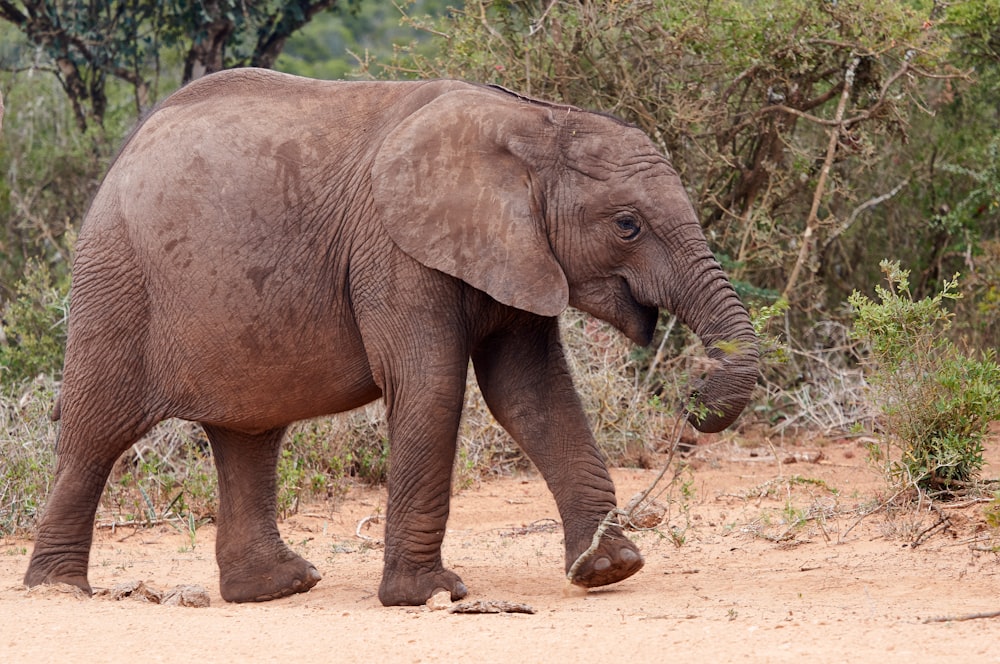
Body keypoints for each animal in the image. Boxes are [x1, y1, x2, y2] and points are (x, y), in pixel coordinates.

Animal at [23, 67, 756, 608]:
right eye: (627, 225)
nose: (693, 394)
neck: (535, 124)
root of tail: (126, 149)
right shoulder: (395, 250)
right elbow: (431, 385)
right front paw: (431, 595)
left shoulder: (517, 253)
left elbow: (532, 394)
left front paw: (611, 570)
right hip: (116, 279)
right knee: (96, 430)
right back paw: (59, 590)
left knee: (249, 435)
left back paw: (280, 588)